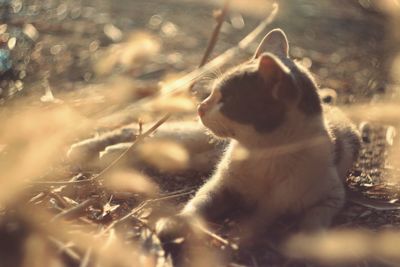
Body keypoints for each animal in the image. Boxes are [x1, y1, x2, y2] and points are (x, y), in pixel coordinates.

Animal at [155, 28, 360, 260]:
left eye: (226, 100)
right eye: (212, 93)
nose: (200, 107)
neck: (262, 152)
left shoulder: (331, 196)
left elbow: (315, 219)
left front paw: (309, 243)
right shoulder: (220, 185)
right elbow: (197, 203)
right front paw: (176, 223)